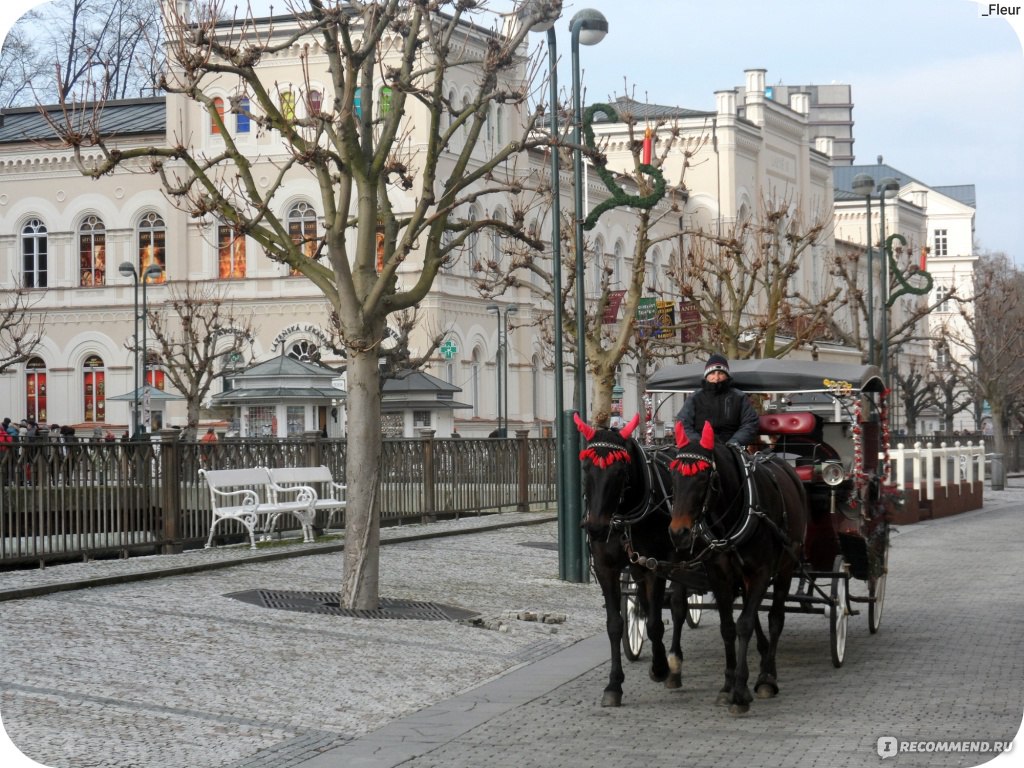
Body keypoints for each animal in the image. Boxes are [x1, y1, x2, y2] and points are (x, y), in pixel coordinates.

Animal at [577, 411, 688, 708]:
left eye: (619, 471)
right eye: (586, 468)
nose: (596, 528)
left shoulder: (655, 565)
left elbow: (655, 623)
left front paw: (660, 668)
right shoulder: (606, 568)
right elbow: (615, 624)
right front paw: (614, 685)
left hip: (678, 560)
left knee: (678, 606)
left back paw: (674, 665)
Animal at [671, 421, 806, 716]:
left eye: (703, 478)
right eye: (673, 475)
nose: (678, 532)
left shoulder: (761, 573)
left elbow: (744, 624)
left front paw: (741, 691)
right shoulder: (720, 577)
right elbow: (728, 628)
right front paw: (727, 686)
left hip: (786, 567)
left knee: (775, 618)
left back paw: (767, 676)